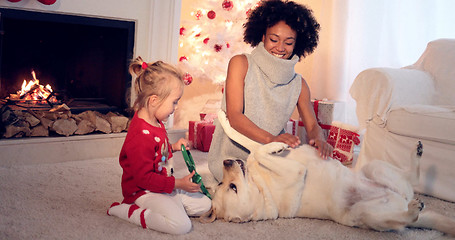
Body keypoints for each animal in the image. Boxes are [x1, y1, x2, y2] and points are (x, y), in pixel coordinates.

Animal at [203, 111, 455, 236]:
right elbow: (256, 153)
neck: (262, 187)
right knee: (406, 218)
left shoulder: (263, 150)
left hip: (374, 168)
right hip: (364, 214)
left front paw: (223, 116)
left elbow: (248, 142)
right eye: (231, 187)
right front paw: (274, 148)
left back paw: (417, 153)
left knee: (411, 179)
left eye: (225, 185)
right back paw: (413, 209)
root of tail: (401, 202)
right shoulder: (296, 171)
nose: (227, 162)